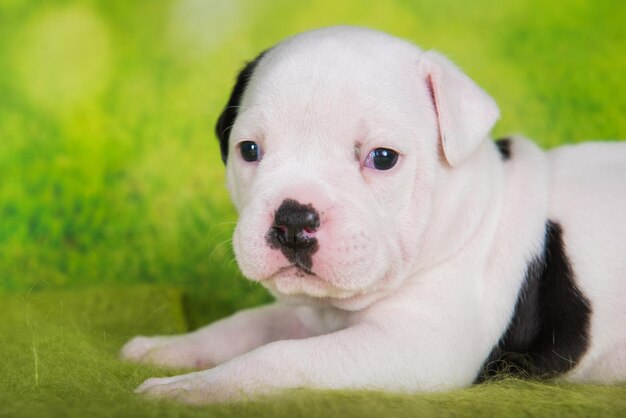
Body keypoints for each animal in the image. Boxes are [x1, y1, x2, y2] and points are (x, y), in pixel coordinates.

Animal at [120, 25, 624, 402]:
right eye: (248, 150)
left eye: (382, 158)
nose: (293, 220)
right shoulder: (311, 314)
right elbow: (245, 324)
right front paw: (170, 349)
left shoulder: (413, 347)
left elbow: (279, 356)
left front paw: (189, 390)